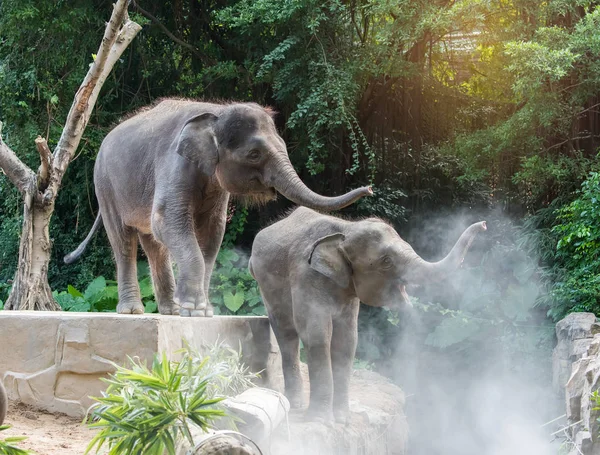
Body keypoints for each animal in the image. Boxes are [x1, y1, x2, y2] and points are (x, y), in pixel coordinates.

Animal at [67, 99, 376, 318]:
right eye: (254, 154)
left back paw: (172, 311)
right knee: (124, 240)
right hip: (104, 184)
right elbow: (168, 221)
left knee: (153, 244)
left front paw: (202, 311)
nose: (370, 188)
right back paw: (133, 311)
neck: (215, 112)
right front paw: (194, 308)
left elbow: (212, 232)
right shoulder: (174, 162)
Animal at [248, 208, 488, 426]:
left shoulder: (349, 292)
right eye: (387, 261)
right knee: (286, 332)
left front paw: (343, 420)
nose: (484, 224)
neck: (346, 230)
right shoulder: (306, 277)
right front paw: (320, 421)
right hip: (267, 285)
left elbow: (347, 341)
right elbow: (317, 335)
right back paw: (296, 405)